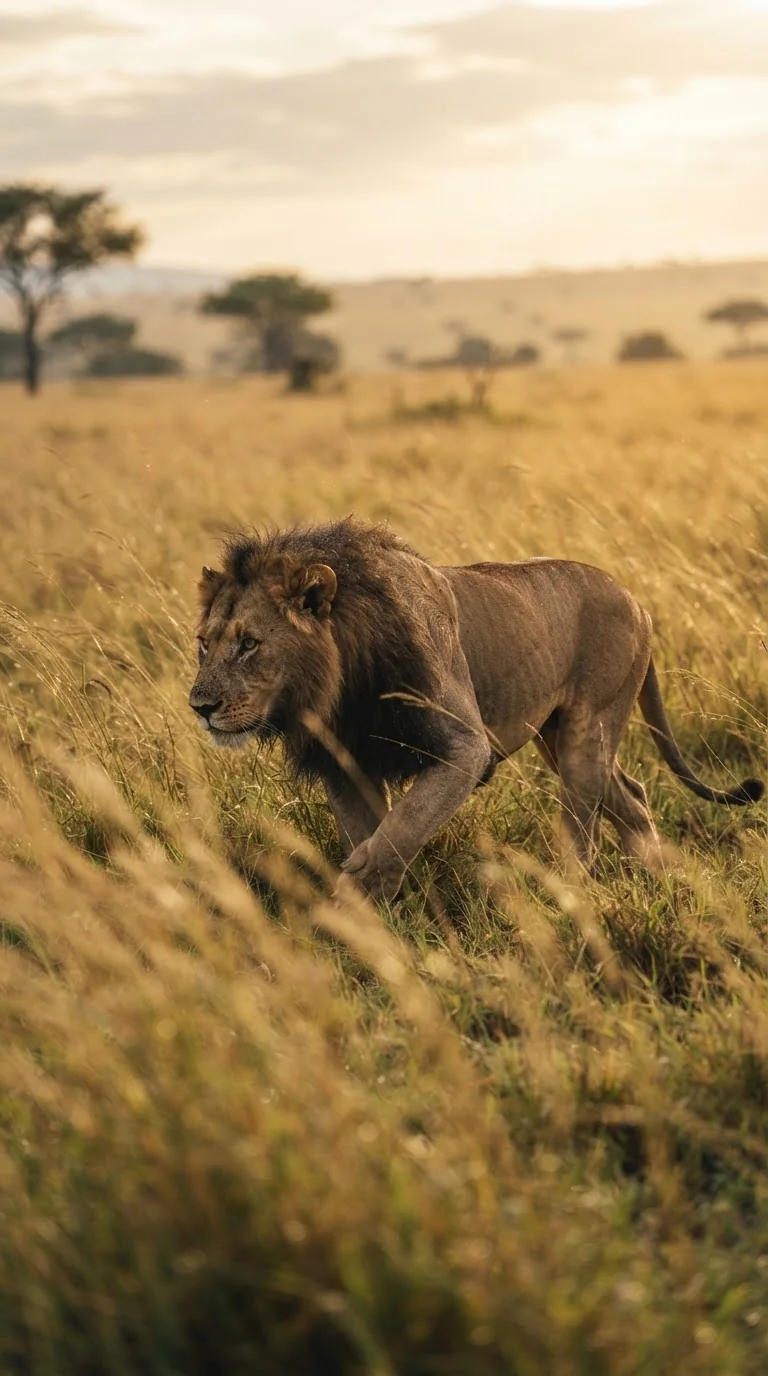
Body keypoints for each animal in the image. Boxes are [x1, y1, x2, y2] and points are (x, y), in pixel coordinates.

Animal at [189, 518, 763, 899]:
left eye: (249, 644)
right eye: (203, 644)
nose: (199, 706)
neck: (339, 684)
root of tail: (636, 599)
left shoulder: (466, 747)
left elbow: (401, 828)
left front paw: (356, 888)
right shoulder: (345, 761)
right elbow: (370, 828)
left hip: (588, 728)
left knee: (585, 825)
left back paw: (576, 893)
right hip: (557, 737)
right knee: (632, 795)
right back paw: (659, 876)